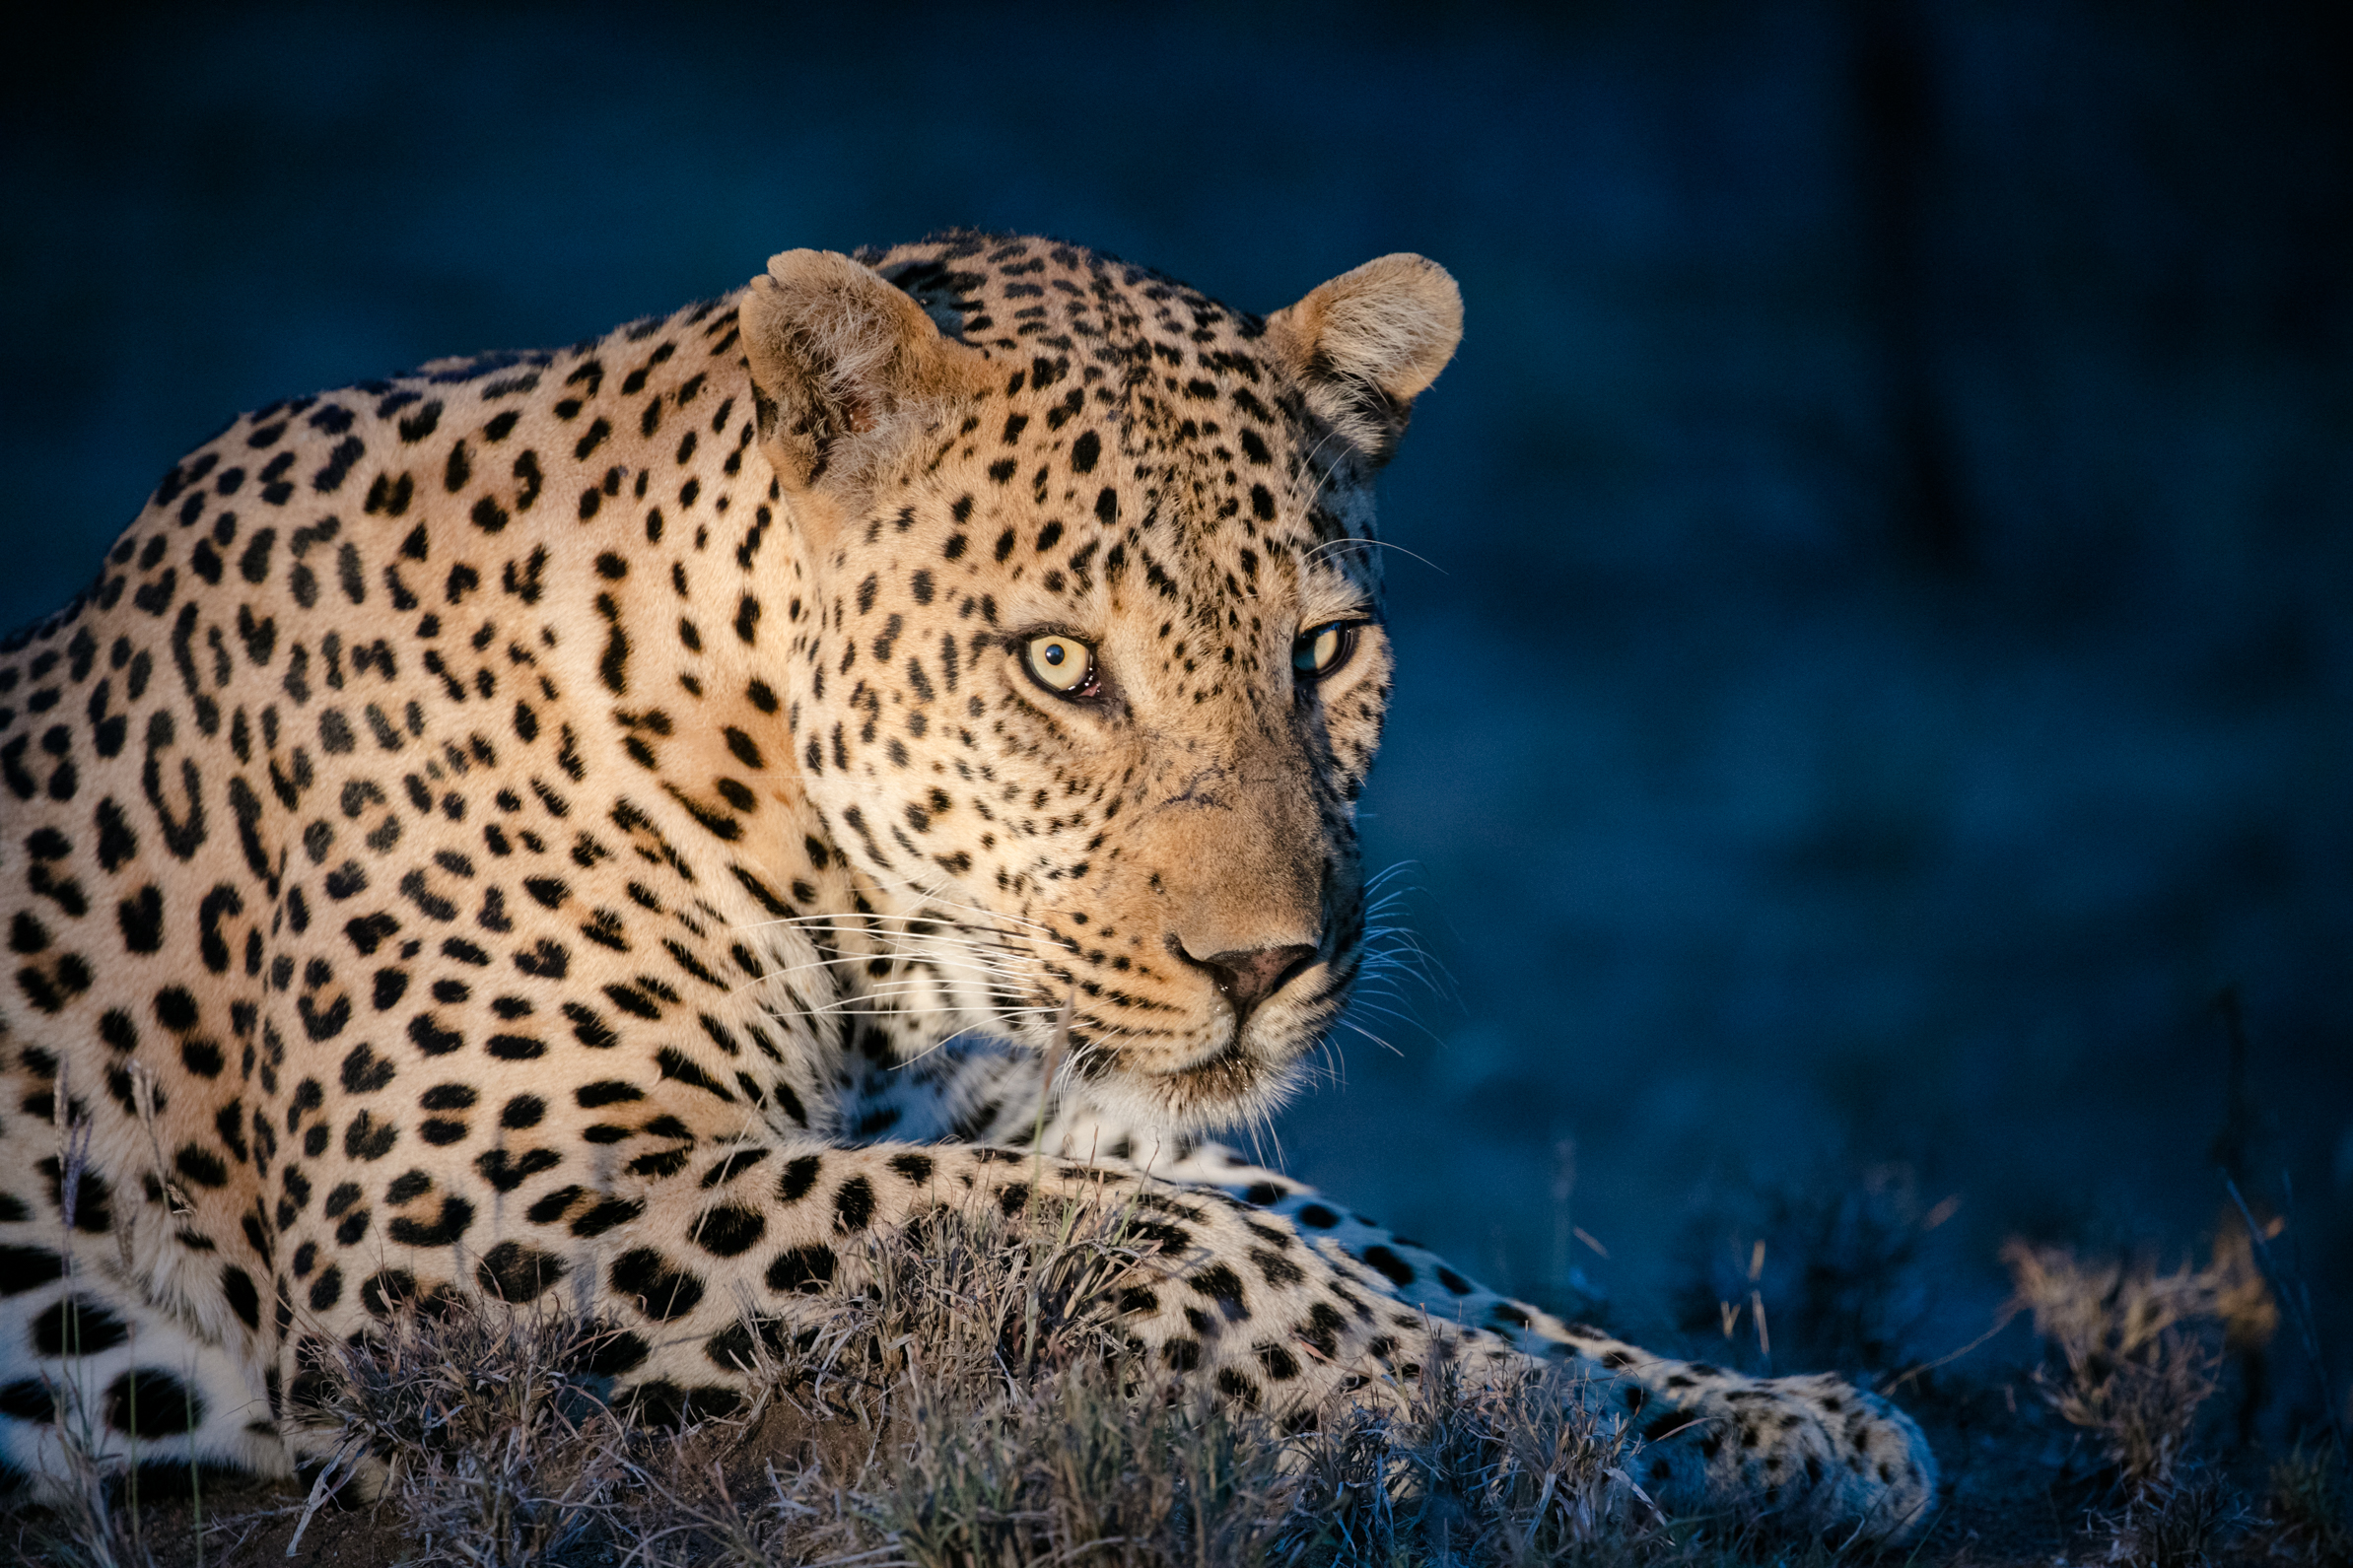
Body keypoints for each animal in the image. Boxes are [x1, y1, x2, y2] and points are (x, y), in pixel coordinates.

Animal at [0, 231, 1937, 1543]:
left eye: (1321, 651)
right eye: (1060, 664)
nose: (1270, 964)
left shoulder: (1046, 1110)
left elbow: (1368, 1241)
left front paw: (1763, 1421)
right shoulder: (470, 1211)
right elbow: (1124, 1234)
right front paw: (1494, 1414)